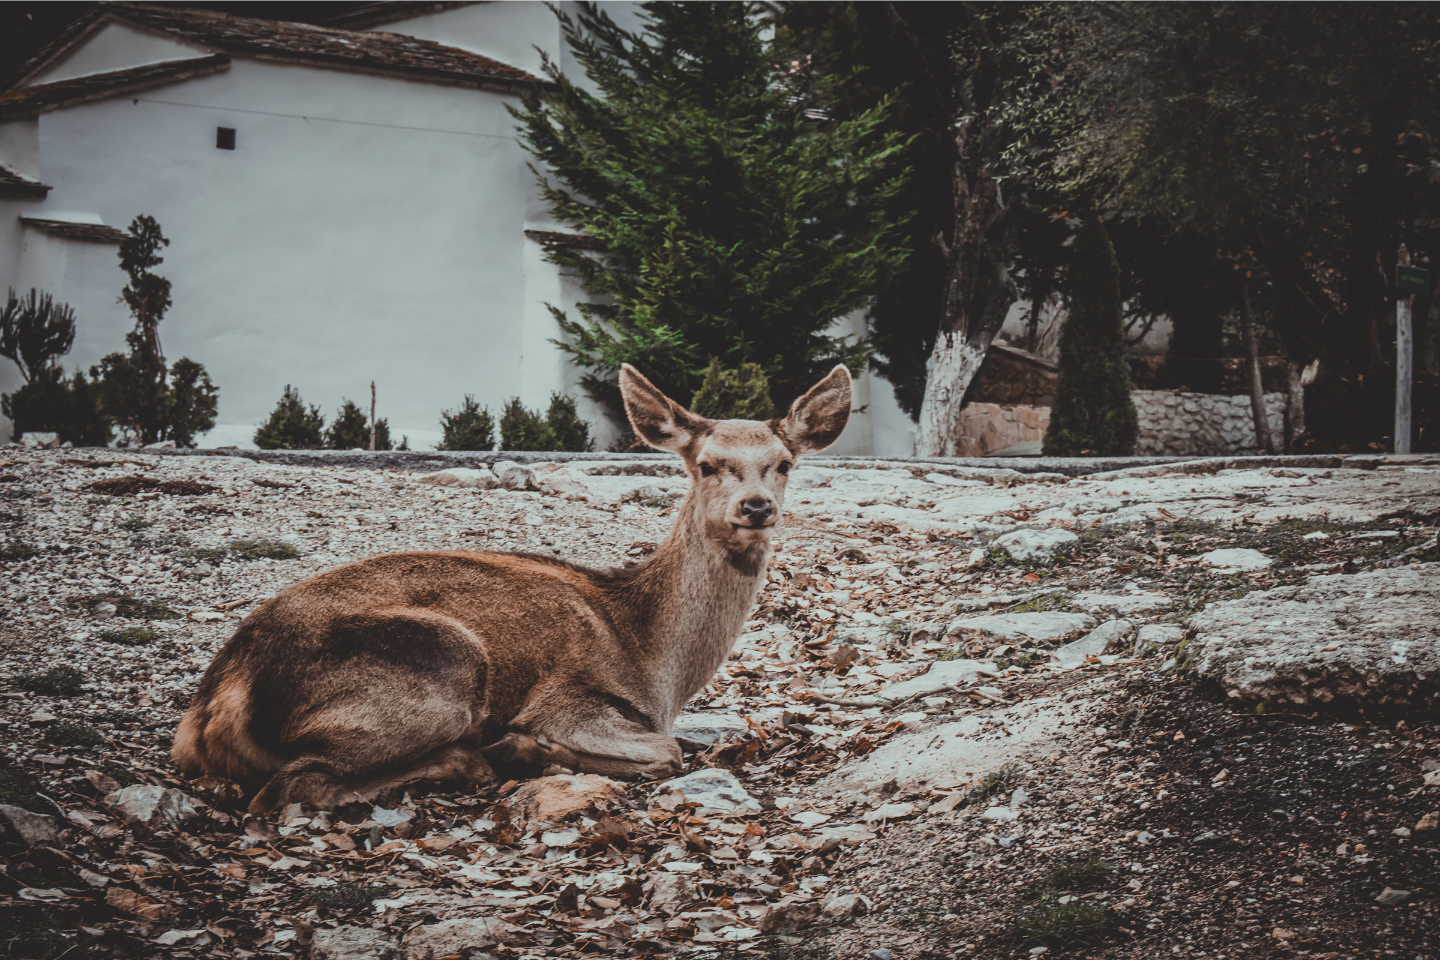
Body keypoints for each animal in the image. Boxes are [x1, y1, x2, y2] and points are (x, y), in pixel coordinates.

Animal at [172, 363, 852, 815]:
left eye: (784, 463)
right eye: (708, 464)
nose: (757, 506)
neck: (656, 659)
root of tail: (213, 709)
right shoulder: (571, 701)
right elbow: (669, 750)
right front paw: (532, 749)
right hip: (441, 666)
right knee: (289, 788)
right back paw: (486, 755)